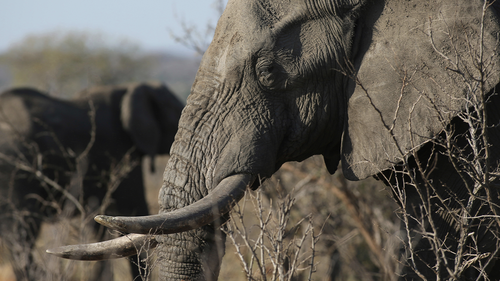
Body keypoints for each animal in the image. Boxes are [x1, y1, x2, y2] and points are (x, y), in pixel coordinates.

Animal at [0, 82, 184, 278]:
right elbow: (132, 208)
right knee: (21, 234)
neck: (128, 89)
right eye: (175, 110)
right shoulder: (120, 151)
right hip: (14, 165)